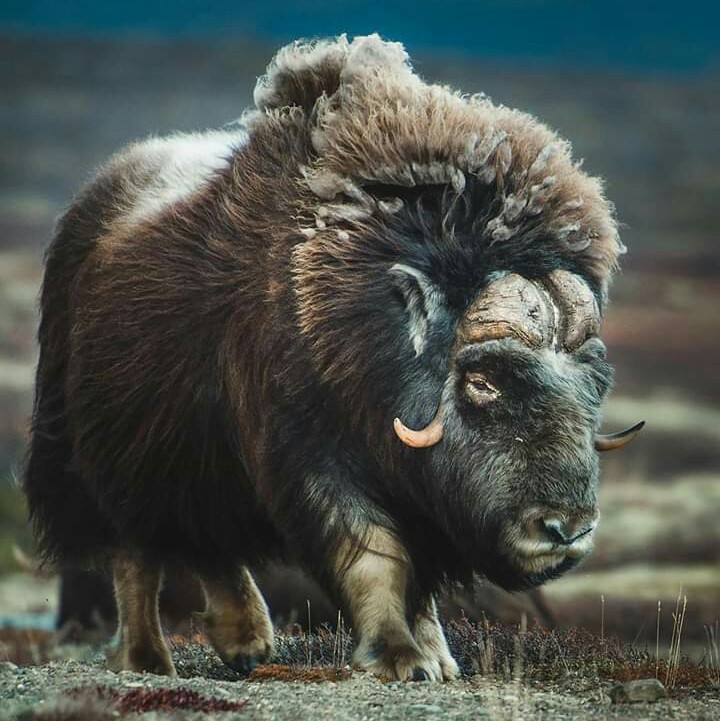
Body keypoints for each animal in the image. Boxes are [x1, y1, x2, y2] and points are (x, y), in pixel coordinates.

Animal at [24, 35, 642, 681]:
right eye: (482, 380)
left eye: (596, 386)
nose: (566, 528)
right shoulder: (312, 455)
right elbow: (372, 554)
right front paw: (399, 658)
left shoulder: (416, 493)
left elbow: (420, 580)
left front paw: (439, 658)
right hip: (105, 457)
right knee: (136, 552)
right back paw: (150, 660)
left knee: (207, 538)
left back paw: (247, 642)